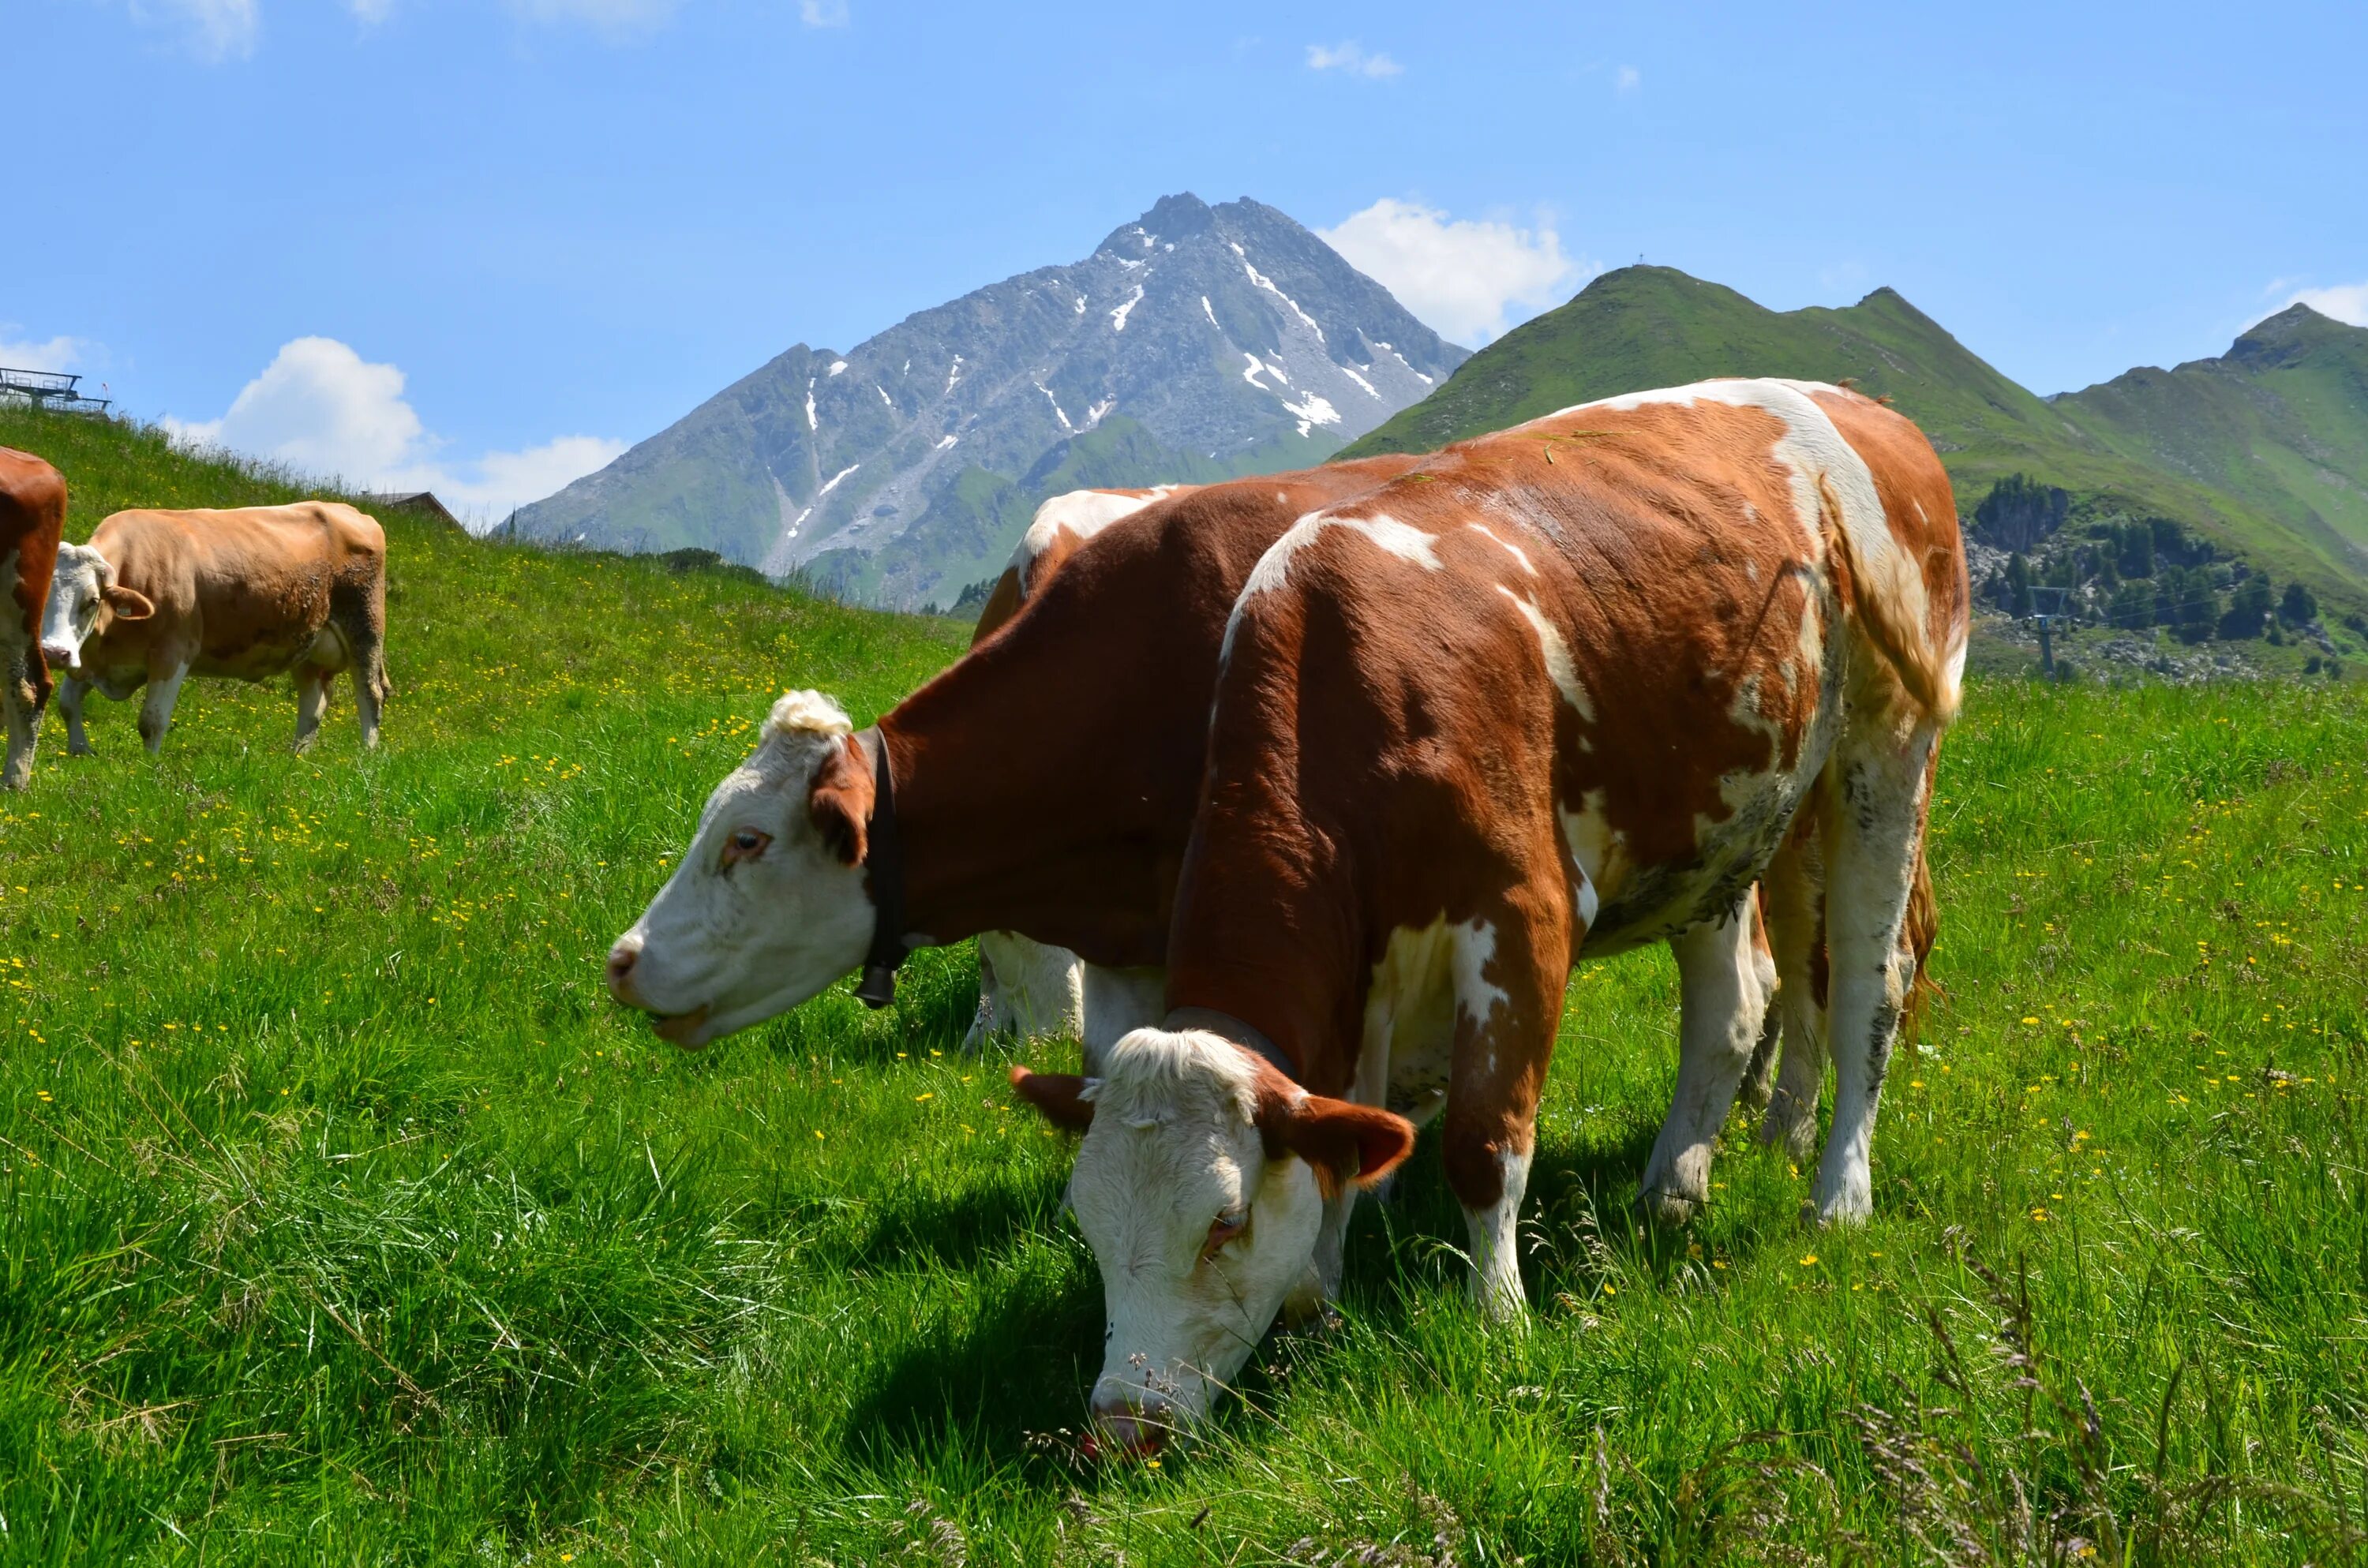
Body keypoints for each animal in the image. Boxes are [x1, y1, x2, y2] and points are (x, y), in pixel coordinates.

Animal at [41, 500, 391, 753]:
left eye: (92, 600)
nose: (54, 653)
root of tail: (350, 510)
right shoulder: (93, 658)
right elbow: (68, 705)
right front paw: (80, 752)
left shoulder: (174, 652)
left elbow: (152, 721)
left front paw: (149, 771)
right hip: (308, 645)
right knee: (313, 704)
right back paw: (296, 758)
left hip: (365, 626)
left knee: (371, 694)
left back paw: (365, 758)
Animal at [1009, 381, 1970, 1449]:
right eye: (1089, 1221)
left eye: (1223, 1221)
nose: (1123, 1425)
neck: (1351, 684)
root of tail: (1869, 410)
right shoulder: (1361, 980)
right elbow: (1348, 1140)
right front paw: (1318, 1300)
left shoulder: (1522, 913)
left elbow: (1483, 1141)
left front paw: (1499, 1321)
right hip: (1733, 820)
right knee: (1737, 1006)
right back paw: (1676, 1185)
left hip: (1888, 751)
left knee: (1867, 989)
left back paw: (1837, 1195)